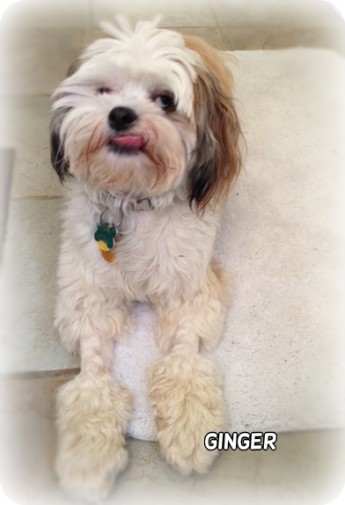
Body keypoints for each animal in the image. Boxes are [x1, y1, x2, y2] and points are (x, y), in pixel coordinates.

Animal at [49, 15, 241, 500]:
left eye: (166, 100)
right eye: (104, 90)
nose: (121, 114)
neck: (131, 201)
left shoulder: (189, 290)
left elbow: (184, 362)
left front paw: (190, 429)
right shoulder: (88, 298)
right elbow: (93, 378)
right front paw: (88, 455)